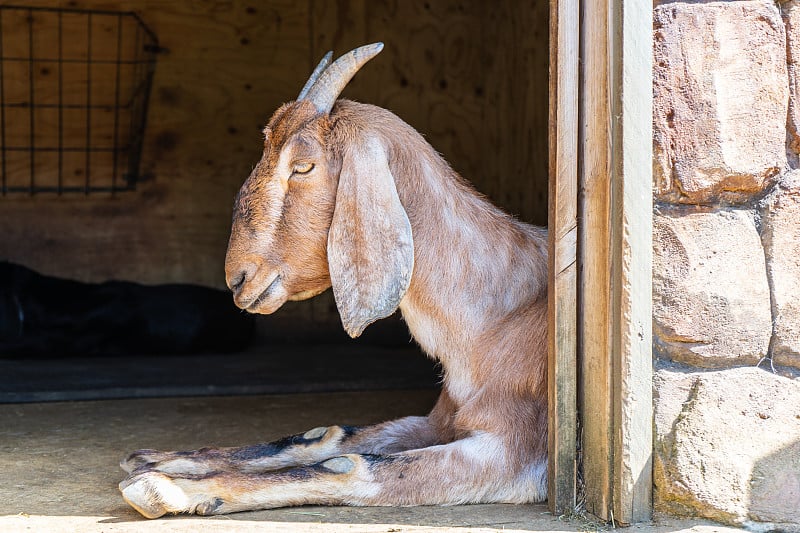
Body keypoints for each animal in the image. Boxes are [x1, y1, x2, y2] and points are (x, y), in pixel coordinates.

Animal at [120, 43, 552, 516]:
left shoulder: (508, 451)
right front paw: (162, 459)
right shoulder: (438, 420)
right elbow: (327, 436)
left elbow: (351, 465)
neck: (494, 318)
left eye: (303, 166)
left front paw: (168, 487)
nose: (239, 278)